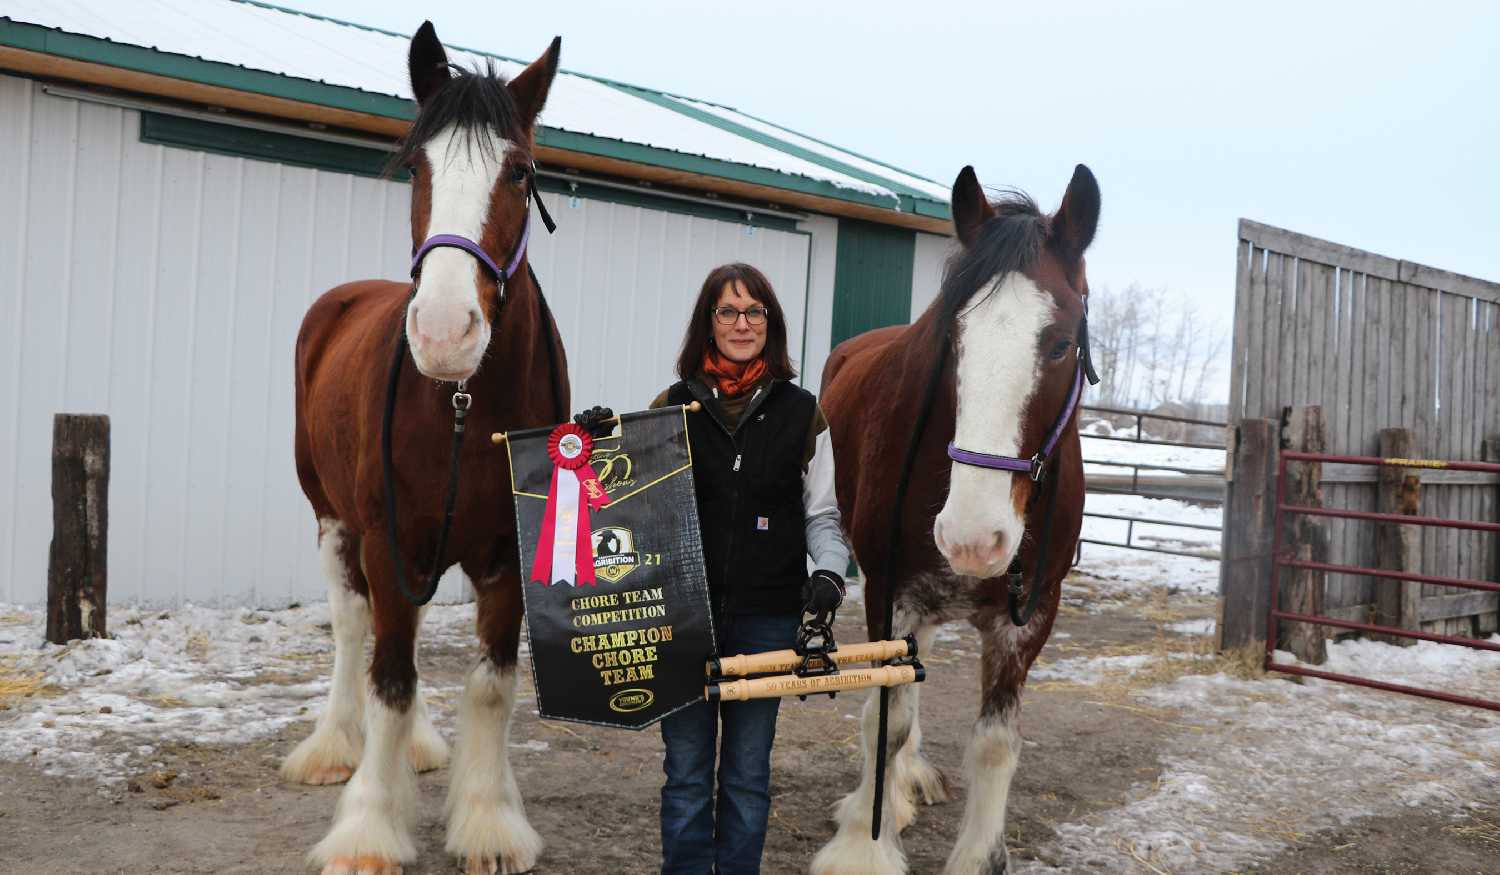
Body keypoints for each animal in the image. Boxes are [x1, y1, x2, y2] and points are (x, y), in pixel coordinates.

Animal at [283, 22, 564, 875]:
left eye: (520, 171)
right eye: (415, 166)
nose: (443, 333)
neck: (463, 406)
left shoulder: (505, 549)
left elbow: (493, 682)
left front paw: (488, 817)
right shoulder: (388, 540)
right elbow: (391, 680)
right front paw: (368, 829)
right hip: (334, 519)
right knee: (356, 629)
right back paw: (335, 746)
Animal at [816, 165, 1098, 875]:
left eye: (1061, 344)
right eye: (951, 338)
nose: (972, 536)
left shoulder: (1031, 616)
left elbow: (996, 743)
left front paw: (976, 855)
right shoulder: (890, 588)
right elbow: (886, 716)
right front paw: (864, 844)